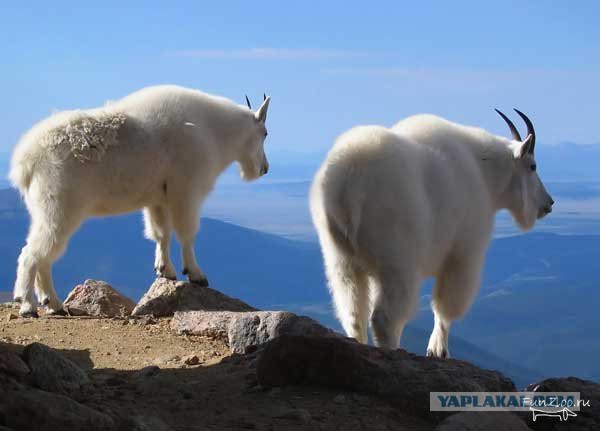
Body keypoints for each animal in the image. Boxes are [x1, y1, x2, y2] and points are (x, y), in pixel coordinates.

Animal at [9, 84, 270, 318]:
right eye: (265, 134)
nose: (265, 169)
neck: (213, 131)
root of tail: (25, 160)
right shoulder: (187, 191)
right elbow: (187, 233)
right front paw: (196, 274)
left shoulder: (158, 199)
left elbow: (161, 233)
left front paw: (165, 270)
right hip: (59, 208)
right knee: (32, 254)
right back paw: (28, 305)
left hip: (45, 210)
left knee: (44, 256)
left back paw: (53, 304)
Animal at [312, 110, 556, 358]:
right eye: (533, 166)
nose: (549, 203)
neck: (484, 173)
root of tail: (348, 188)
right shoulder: (462, 255)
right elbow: (445, 307)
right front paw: (438, 350)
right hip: (396, 261)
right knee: (385, 318)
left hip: (341, 260)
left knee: (353, 314)